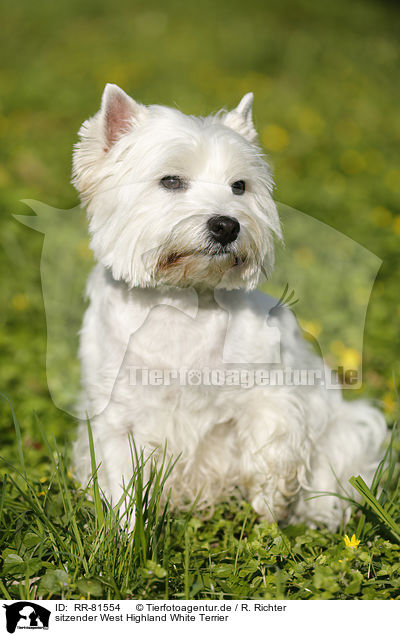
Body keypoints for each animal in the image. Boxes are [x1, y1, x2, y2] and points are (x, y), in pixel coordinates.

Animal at [72, 85, 388, 532]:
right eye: (171, 180)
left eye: (239, 186)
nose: (227, 225)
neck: (182, 304)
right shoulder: (116, 418)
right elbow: (122, 486)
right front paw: (124, 538)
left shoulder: (270, 393)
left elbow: (271, 451)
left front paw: (270, 514)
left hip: (348, 431)